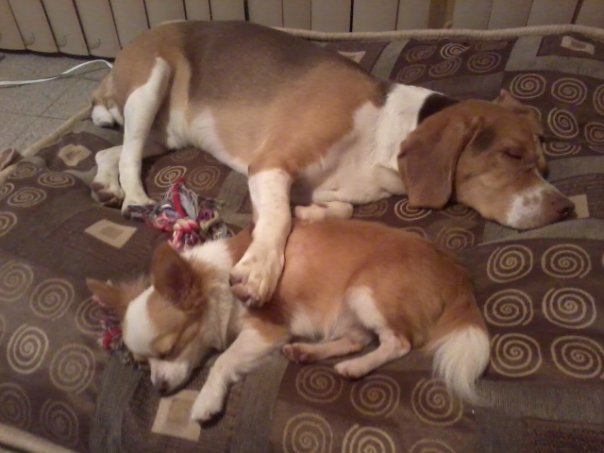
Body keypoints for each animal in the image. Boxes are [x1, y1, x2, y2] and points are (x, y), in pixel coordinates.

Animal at [87, 219, 490, 423]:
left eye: (170, 351)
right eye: (141, 364)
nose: (158, 388)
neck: (215, 282)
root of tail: (456, 272)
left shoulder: (266, 330)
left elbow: (224, 361)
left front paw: (205, 401)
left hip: (365, 291)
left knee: (397, 342)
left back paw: (356, 368)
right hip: (348, 310)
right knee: (359, 338)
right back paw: (309, 354)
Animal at [90, 20, 573, 306]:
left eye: (546, 166)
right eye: (511, 155)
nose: (566, 207)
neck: (384, 129)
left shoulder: (331, 189)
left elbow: (332, 210)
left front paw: (307, 214)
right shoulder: (269, 164)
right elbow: (277, 220)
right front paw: (260, 268)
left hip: (168, 133)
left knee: (109, 150)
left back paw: (106, 186)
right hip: (151, 82)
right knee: (128, 153)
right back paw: (134, 198)